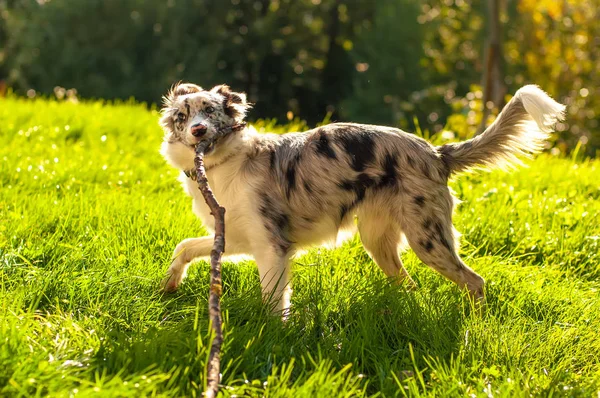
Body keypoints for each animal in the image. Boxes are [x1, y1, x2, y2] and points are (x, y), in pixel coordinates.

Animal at [158, 83, 564, 314]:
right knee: (410, 284)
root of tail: (435, 152)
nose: (198, 131)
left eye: (210, 111)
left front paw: (274, 336)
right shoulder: (239, 236)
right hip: (378, 240)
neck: (225, 163)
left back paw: (473, 325)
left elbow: (274, 302)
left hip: (427, 239)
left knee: (474, 281)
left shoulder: (272, 246)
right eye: (182, 116)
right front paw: (170, 283)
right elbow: (184, 246)